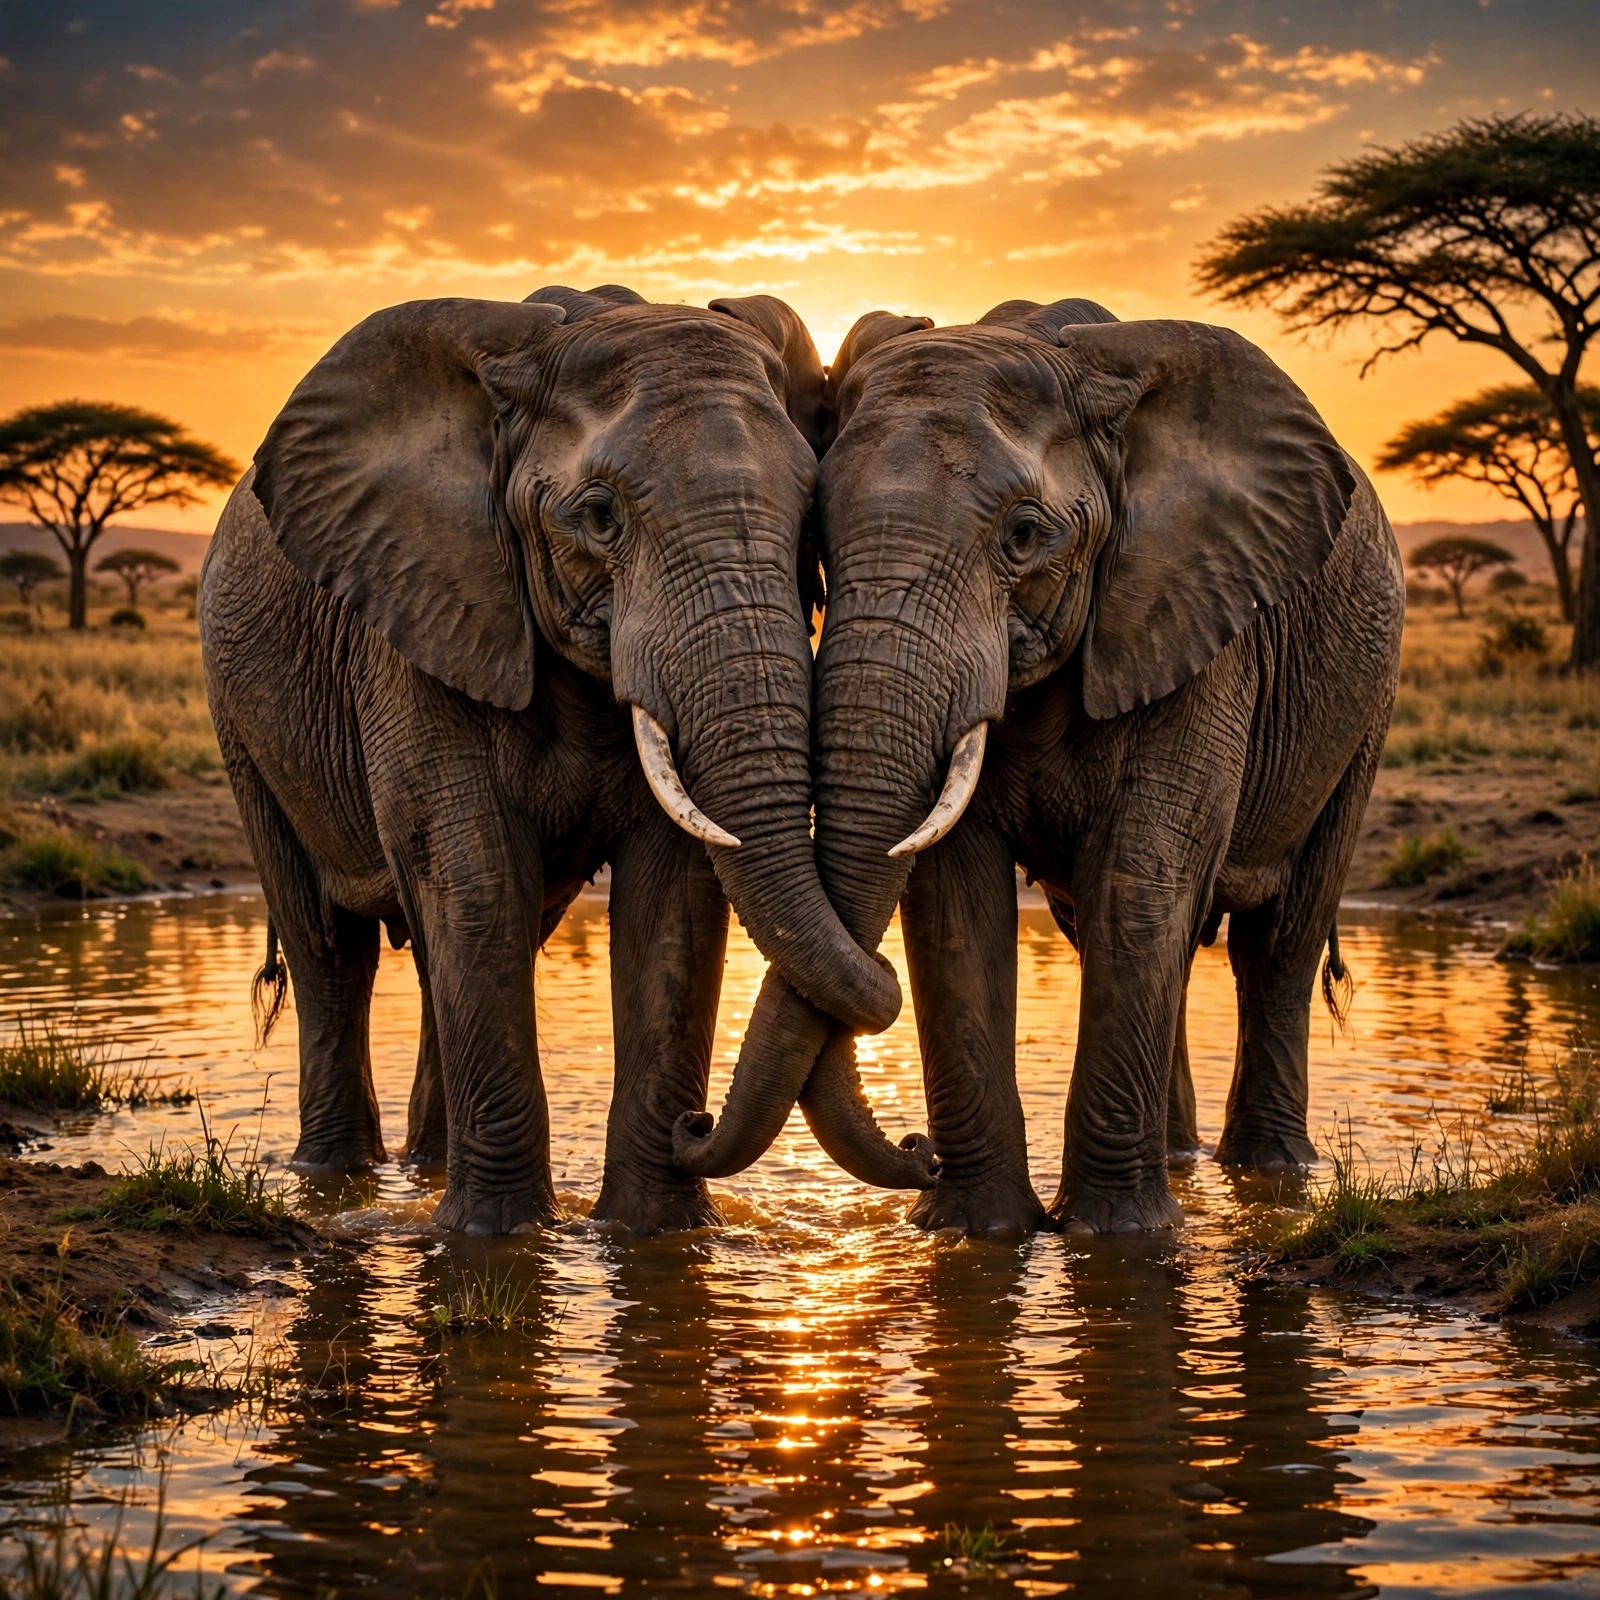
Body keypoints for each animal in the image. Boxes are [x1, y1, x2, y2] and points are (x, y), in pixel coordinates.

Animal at [200, 282, 922, 1236]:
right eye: (601, 516)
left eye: (810, 517)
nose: (697, 1125)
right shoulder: (423, 609)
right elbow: (471, 876)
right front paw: (492, 1242)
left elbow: (672, 895)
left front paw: (656, 1237)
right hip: (239, 714)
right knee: (329, 945)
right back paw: (336, 1182)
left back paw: (425, 1169)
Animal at [678, 296, 1403, 1237]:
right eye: (821, 542)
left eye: (1024, 536)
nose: (915, 1147)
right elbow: (956, 899)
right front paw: (977, 1233)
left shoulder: (1195, 618)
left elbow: (1141, 876)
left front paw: (1118, 1239)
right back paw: (1183, 1161)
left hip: (1365, 704)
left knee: (1276, 941)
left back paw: (1271, 1173)